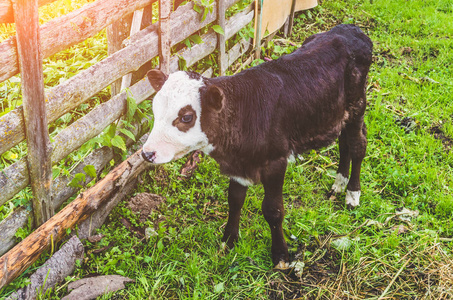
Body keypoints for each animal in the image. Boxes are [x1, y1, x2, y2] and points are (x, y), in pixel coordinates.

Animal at [141, 24, 370, 266]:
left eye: (186, 117)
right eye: (155, 109)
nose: (147, 153)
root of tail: (349, 29)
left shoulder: (276, 161)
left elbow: (273, 210)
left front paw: (280, 255)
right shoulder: (238, 165)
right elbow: (234, 200)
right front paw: (229, 240)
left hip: (357, 106)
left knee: (357, 145)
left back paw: (352, 193)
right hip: (338, 114)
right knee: (344, 144)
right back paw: (339, 183)